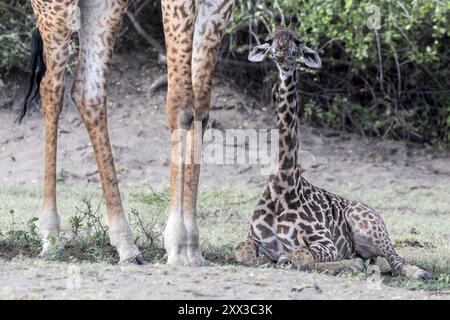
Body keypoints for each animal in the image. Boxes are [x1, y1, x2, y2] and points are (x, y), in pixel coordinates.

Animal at [234, 14, 430, 280]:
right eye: (269, 39)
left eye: (298, 40)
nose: (282, 52)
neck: (281, 188)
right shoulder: (252, 238)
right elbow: (242, 253)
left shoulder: (325, 244)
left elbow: (301, 256)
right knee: (370, 259)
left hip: (368, 222)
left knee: (395, 259)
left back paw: (418, 272)